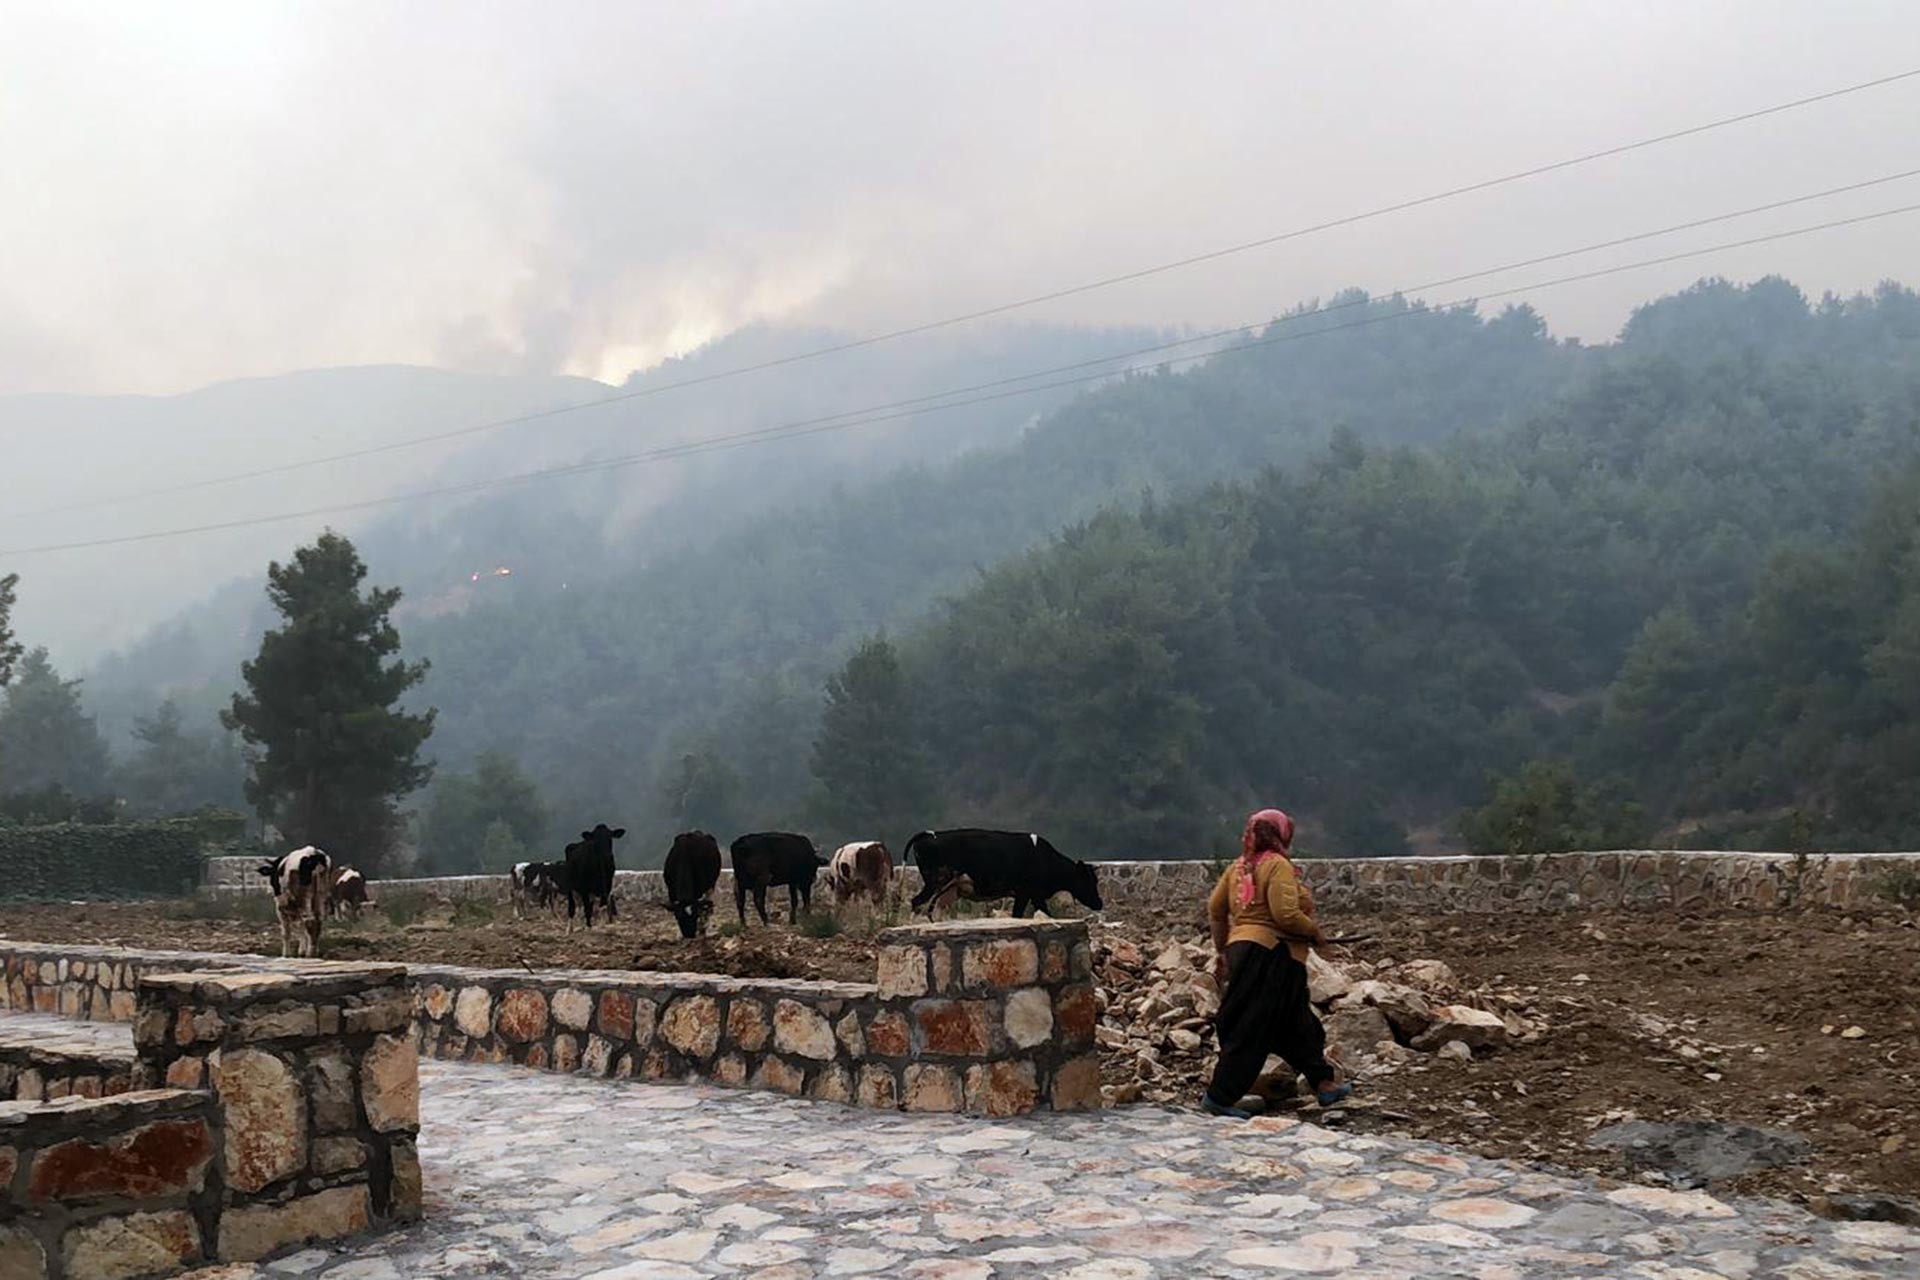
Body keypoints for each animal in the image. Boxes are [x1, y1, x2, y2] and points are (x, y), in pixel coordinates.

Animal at [902, 832, 1105, 921]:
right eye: (1088, 880)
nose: (1099, 903)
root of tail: (930, 834)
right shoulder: (1027, 893)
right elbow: (1027, 914)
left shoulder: (1033, 895)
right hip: (935, 882)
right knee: (916, 902)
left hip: (948, 890)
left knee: (934, 908)